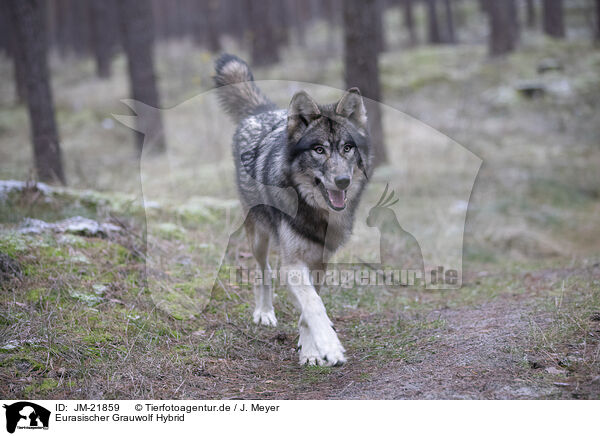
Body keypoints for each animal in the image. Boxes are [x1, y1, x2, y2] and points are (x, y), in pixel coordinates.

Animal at [211, 54, 370, 366]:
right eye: (319, 150)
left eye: (347, 148)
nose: (342, 181)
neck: (316, 212)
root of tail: (264, 111)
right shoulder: (294, 263)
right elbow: (313, 305)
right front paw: (329, 347)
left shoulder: (319, 261)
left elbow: (308, 309)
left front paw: (309, 350)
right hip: (259, 237)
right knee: (264, 270)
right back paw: (264, 312)